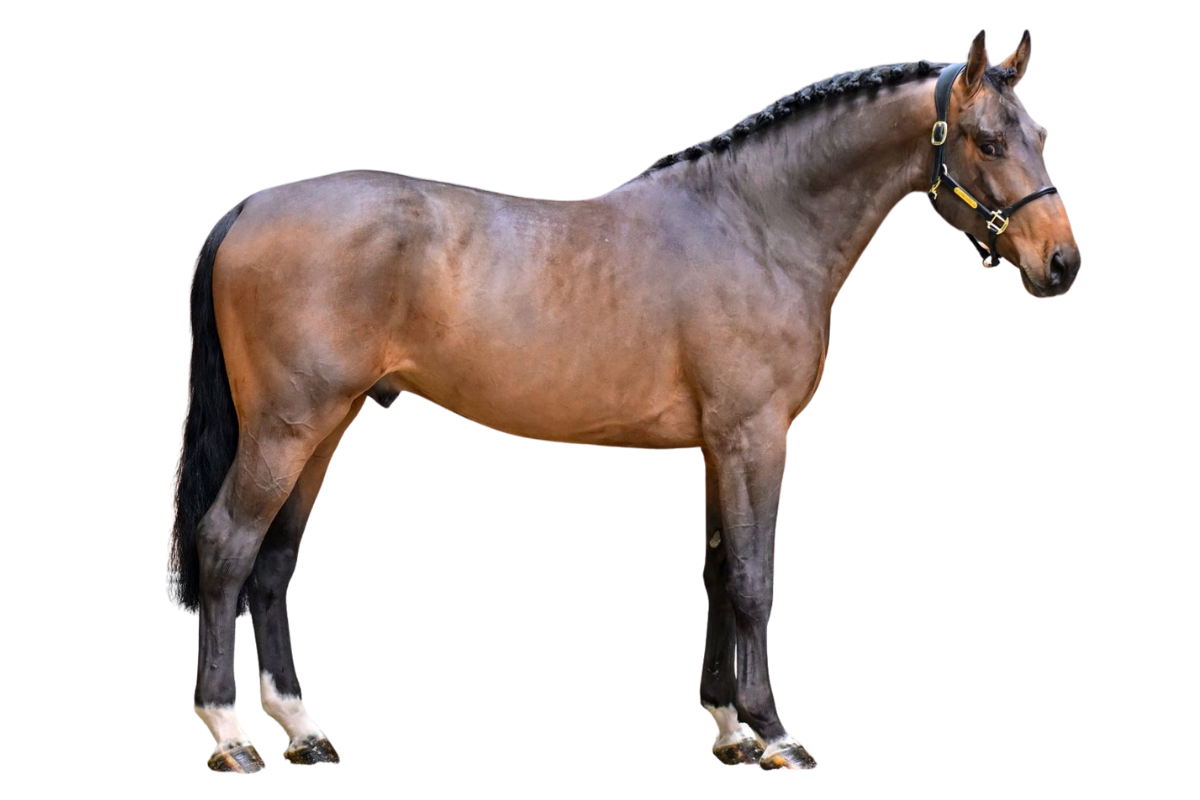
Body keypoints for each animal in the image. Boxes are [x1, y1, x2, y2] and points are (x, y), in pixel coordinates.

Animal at [168, 30, 1079, 773]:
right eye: (988, 140)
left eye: (1039, 136)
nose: (1062, 263)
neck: (755, 226)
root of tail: (252, 206)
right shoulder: (756, 437)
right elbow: (754, 576)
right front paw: (775, 733)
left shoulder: (718, 444)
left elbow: (716, 569)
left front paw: (729, 728)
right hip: (286, 428)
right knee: (226, 546)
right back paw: (231, 736)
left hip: (325, 426)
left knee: (275, 561)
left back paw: (302, 730)